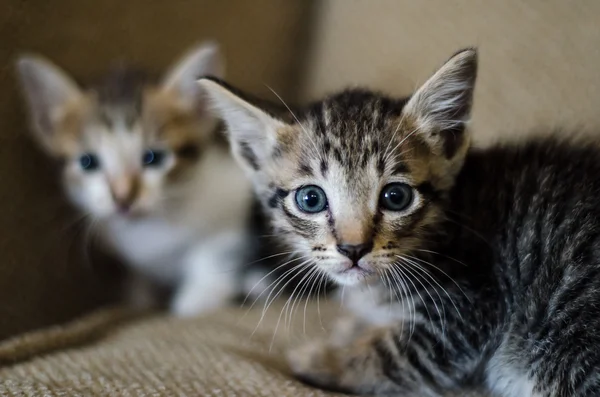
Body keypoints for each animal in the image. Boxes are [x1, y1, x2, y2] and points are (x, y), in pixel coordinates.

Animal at [15, 43, 260, 316]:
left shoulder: (235, 205)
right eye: (88, 162)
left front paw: (199, 298)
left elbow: (217, 253)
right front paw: (138, 299)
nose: (123, 197)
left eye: (153, 158)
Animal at [199, 50, 600, 396]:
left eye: (396, 197)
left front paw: (317, 359)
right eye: (310, 199)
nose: (353, 249)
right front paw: (353, 327)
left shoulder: (471, 306)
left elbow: (395, 355)